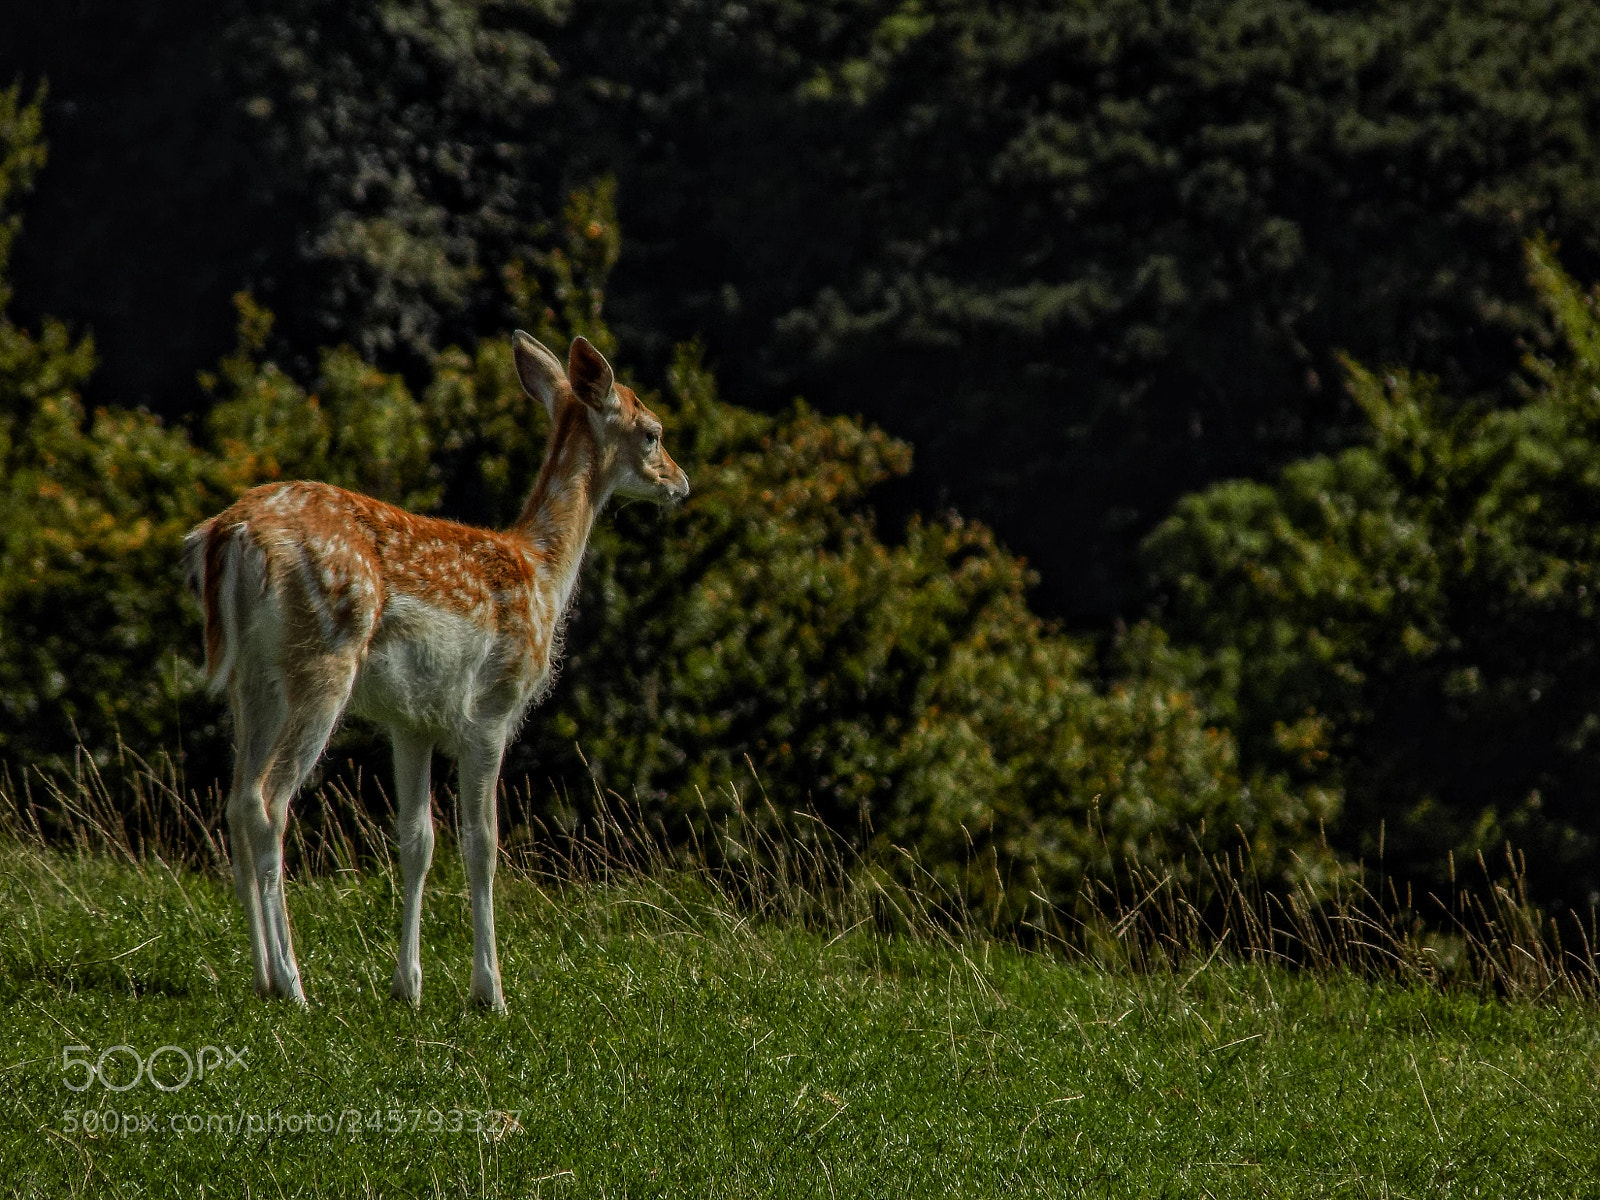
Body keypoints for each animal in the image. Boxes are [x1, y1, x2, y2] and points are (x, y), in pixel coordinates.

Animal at [182, 332, 688, 1012]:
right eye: (653, 431)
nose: (681, 483)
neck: (542, 574)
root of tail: (226, 537)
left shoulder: (411, 720)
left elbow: (417, 842)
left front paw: (409, 986)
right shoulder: (492, 711)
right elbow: (482, 844)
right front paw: (490, 991)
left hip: (254, 678)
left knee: (237, 799)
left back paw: (263, 976)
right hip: (323, 660)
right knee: (269, 801)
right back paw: (293, 983)